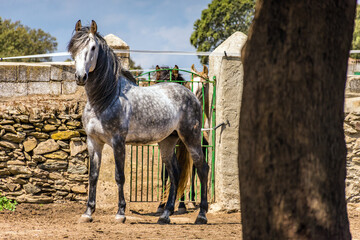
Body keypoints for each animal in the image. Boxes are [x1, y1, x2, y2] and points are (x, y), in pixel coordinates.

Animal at [68, 19, 210, 224]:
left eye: (93, 47)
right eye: (73, 48)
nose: (80, 77)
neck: (105, 99)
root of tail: (190, 94)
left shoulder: (118, 142)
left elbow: (119, 176)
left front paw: (120, 213)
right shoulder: (93, 141)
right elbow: (93, 176)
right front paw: (87, 213)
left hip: (191, 138)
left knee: (202, 169)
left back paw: (201, 215)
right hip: (167, 142)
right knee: (174, 173)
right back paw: (165, 215)